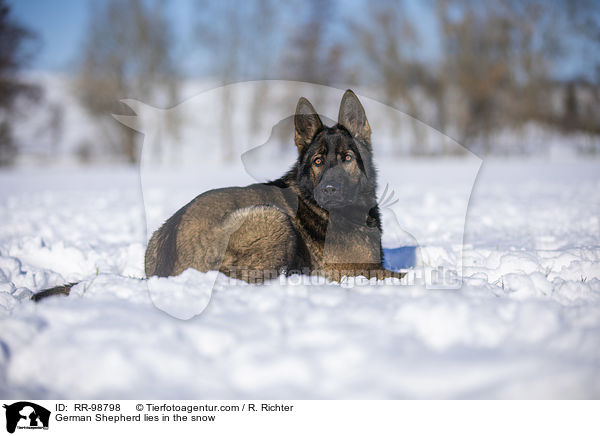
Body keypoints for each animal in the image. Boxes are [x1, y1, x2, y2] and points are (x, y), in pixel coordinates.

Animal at [32, 89, 406, 300]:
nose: (329, 190)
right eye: (317, 161)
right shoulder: (351, 268)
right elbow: (394, 275)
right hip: (271, 218)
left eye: (347, 158)